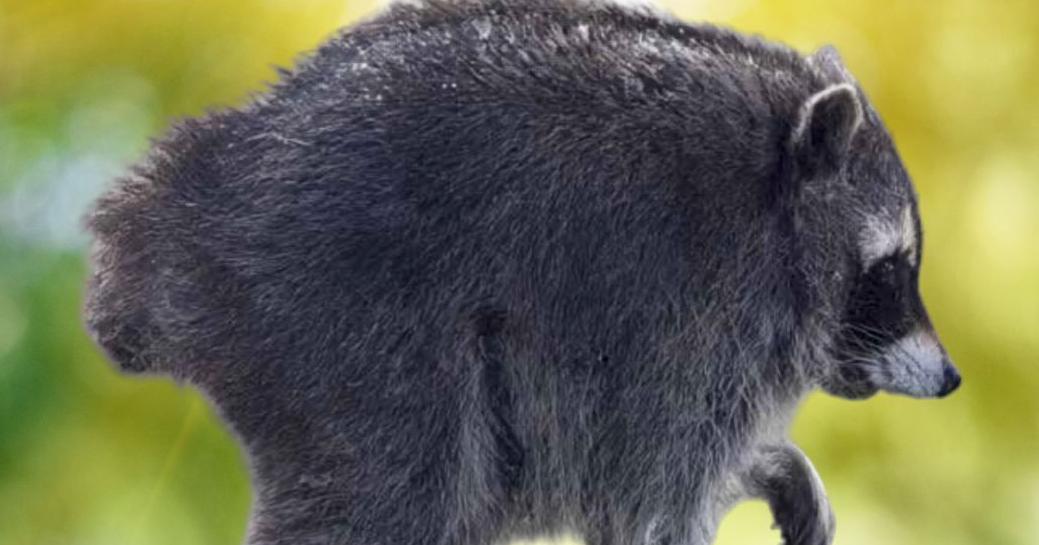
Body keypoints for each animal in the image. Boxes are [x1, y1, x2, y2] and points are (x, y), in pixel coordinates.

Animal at [82, 1, 960, 544]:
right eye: (891, 270)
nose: (951, 377)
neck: (773, 194)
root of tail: (185, 202)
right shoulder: (686, 309)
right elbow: (648, 494)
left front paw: (772, 463)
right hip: (340, 314)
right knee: (393, 487)